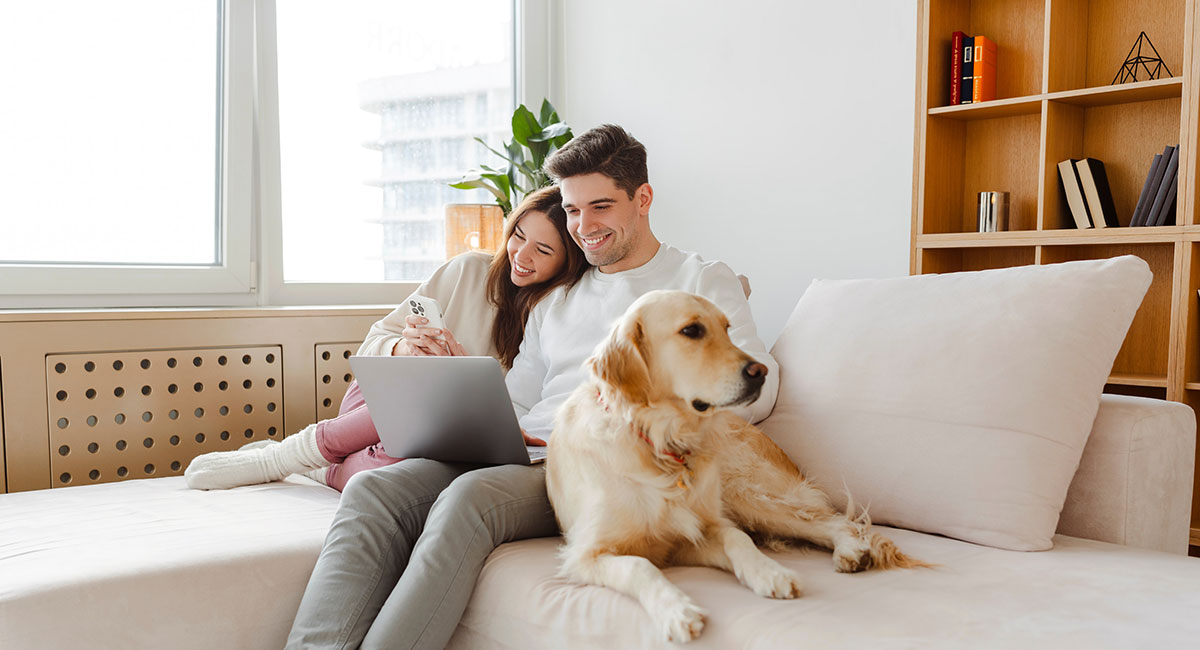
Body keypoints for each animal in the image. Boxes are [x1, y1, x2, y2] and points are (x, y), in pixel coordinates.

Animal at [549, 292, 921, 642]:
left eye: (727, 329)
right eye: (692, 331)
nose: (761, 372)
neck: (660, 443)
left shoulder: (696, 532)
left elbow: (735, 537)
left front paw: (770, 572)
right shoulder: (585, 555)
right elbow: (639, 567)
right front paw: (677, 610)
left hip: (746, 494)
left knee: (831, 520)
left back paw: (850, 549)